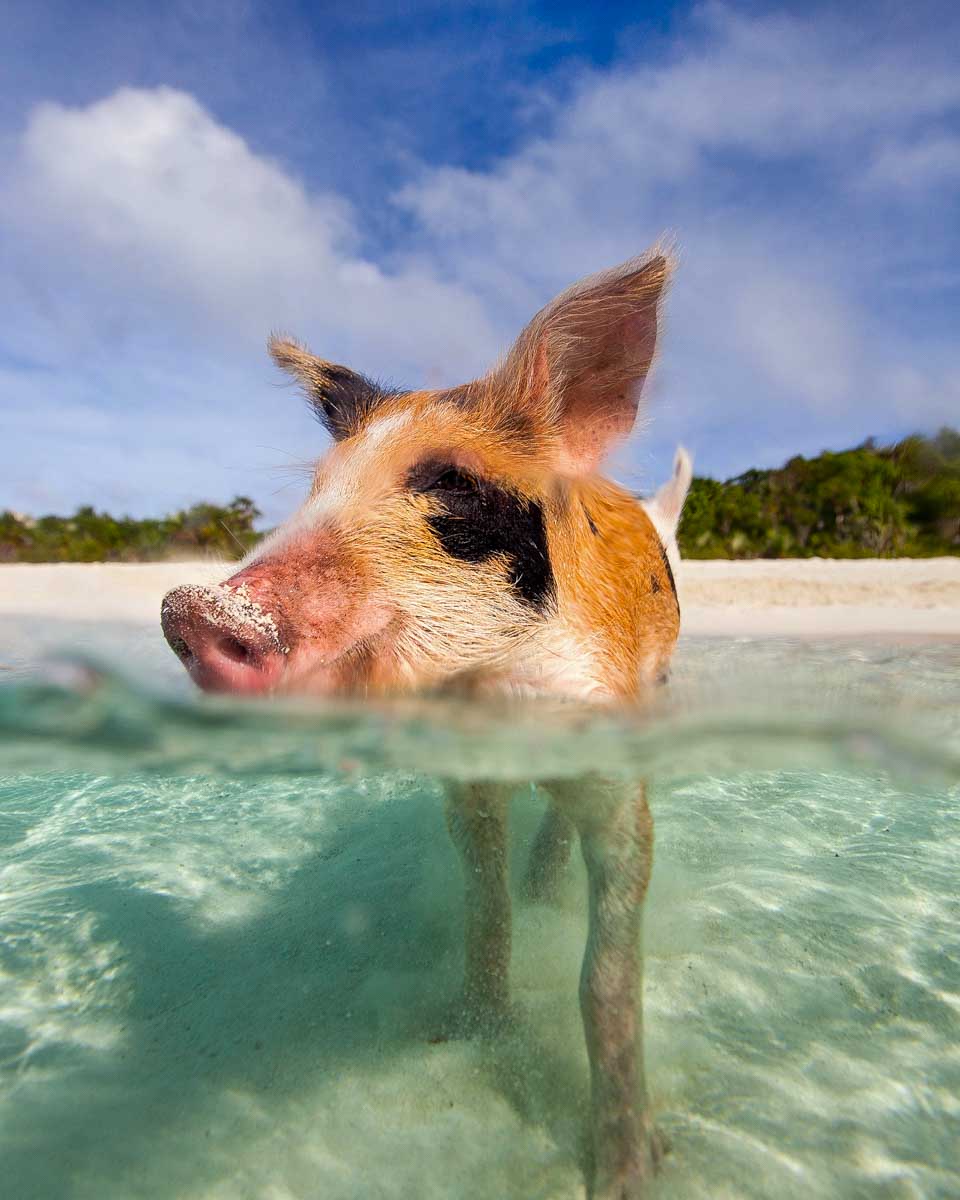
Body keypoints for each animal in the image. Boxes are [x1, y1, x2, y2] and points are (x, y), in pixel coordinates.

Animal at [161, 247, 691, 1199]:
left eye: (450, 482)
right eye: (318, 489)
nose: (193, 606)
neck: (492, 696)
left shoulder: (618, 778)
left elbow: (606, 975)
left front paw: (629, 1175)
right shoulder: (464, 787)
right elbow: (487, 912)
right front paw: (463, 1036)